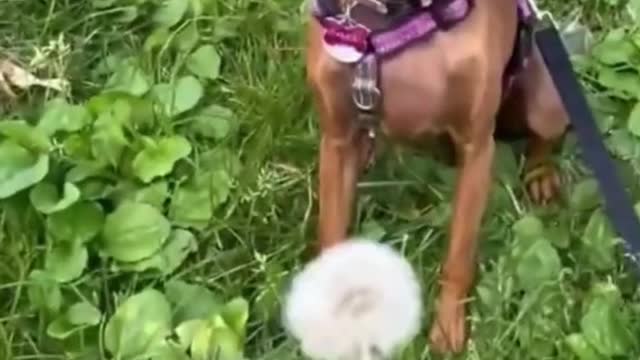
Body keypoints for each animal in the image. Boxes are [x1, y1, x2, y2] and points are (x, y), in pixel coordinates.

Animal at [308, 0, 568, 354]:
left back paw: (541, 176)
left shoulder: (477, 148)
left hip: (547, 103)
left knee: (543, 140)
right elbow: (331, 239)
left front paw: (447, 328)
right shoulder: (336, 143)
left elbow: (458, 255)